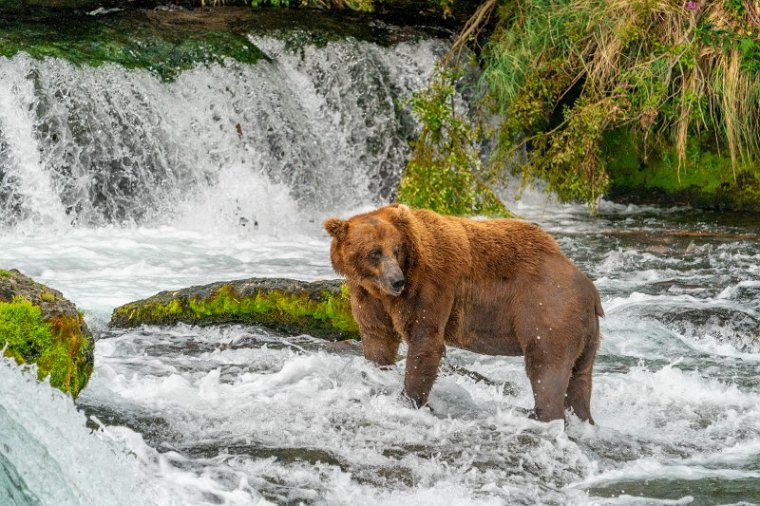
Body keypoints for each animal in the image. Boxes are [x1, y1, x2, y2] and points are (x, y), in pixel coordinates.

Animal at [324, 204, 604, 422]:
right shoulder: (368, 296)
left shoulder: (431, 285)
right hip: (585, 331)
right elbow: (378, 339)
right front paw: (378, 374)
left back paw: (544, 416)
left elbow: (424, 340)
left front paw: (408, 399)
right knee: (580, 378)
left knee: (546, 368)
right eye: (374, 252)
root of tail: (590, 288)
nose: (397, 281)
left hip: (547, 310)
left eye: (396, 249)